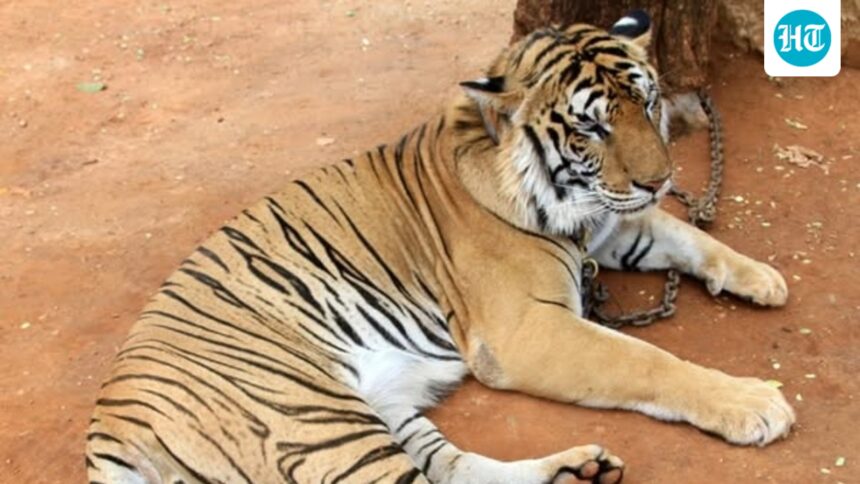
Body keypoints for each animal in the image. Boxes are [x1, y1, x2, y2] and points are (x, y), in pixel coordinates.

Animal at [86, 10, 795, 484]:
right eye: (592, 127)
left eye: (648, 104)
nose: (662, 179)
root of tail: (108, 422)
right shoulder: (525, 329)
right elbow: (648, 362)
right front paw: (753, 404)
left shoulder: (613, 222)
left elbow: (685, 235)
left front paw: (761, 278)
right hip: (316, 421)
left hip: (385, 414)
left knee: (450, 471)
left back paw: (575, 471)